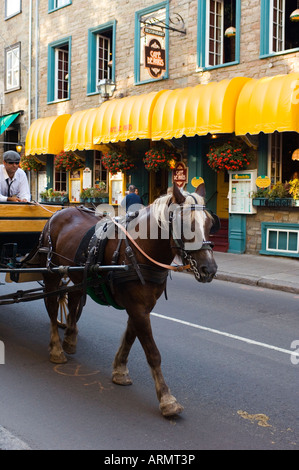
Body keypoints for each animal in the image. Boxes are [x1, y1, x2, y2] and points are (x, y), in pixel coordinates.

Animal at [34, 182, 218, 416]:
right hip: (51, 273)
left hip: (76, 275)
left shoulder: (142, 306)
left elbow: (130, 336)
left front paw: (120, 370)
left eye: (210, 223)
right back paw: (57, 348)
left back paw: (70, 338)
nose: (209, 269)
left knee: (73, 299)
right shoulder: (137, 307)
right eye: (185, 224)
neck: (139, 250)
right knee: (51, 305)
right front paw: (166, 398)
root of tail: (58, 213)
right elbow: (152, 352)